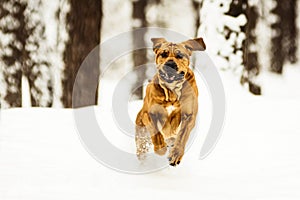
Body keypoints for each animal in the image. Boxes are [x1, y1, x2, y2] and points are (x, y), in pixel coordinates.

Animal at [135, 36, 205, 166]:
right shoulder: (149, 113)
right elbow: (156, 131)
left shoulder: (189, 115)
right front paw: (161, 148)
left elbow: (182, 136)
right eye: (163, 54)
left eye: (180, 55)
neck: (172, 91)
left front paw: (176, 154)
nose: (170, 63)